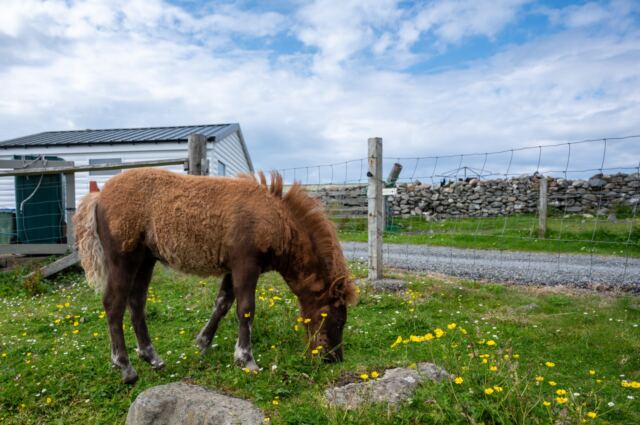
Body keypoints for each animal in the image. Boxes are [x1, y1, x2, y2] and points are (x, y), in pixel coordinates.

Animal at [74, 168, 357, 384]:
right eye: (337, 318)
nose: (334, 358)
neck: (275, 219)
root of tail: (99, 195)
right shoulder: (246, 264)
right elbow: (246, 309)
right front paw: (246, 359)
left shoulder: (233, 268)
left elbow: (223, 303)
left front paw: (202, 343)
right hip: (123, 259)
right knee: (114, 304)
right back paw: (125, 366)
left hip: (145, 260)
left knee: (136, 303)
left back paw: (151, 357)